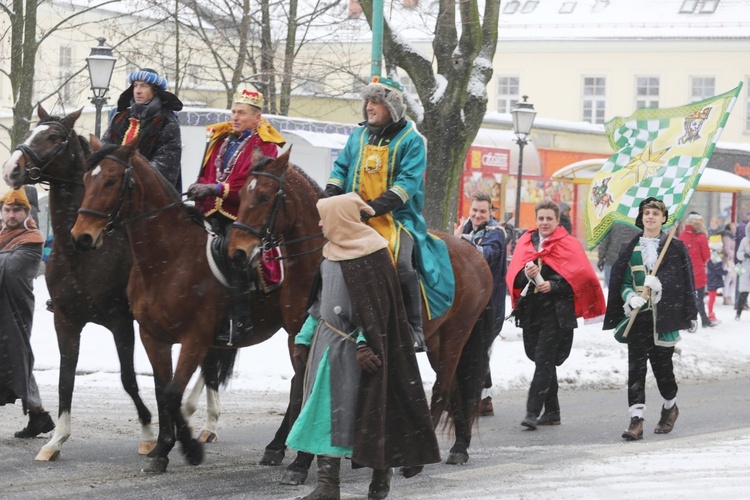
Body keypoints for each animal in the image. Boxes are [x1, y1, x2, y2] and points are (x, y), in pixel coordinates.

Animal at [2, 105, 156, 460]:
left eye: (53, 137)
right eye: (30, 131)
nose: (11, 167)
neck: (83, 250)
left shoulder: (121, 321)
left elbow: (128, 378)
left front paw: (147, 433)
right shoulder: (66, 320)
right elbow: (65, 377)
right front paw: (56, 440)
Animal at [67, 138, 314, 472]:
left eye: (110, 180)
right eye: (85, 179)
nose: (81, 236)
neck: (168, 260)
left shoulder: (195, 338)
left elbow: (173, 393)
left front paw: (190, 449)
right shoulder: (152, 337)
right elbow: (162, 392)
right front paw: (162, 448)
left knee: (298, 381)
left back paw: (276, 445)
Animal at [231, 148, 500, 468]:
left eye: (264, 196)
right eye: (241, 194)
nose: (237, 251)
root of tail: (476, 254)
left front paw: (303, 456)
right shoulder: (296, 337)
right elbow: (300, 389)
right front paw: (288, 450)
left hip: (455, 336)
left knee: (443, 389)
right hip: (437, 340)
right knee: (457, 389)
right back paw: (460, 446)